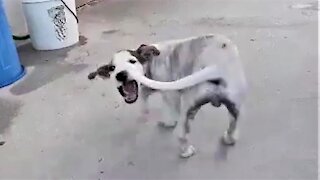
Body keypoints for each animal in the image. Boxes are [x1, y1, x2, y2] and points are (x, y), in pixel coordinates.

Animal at [89, 34, 249, 158]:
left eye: (132, 61)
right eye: (112, 68)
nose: (121, 75)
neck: (151, 60)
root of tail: (216, 67)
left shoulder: (169, 92)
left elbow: (165, 106)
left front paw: (167, 121)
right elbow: (144, 95)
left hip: (188, 106)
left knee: (181, 133)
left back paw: (185, 151)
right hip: (235, 106)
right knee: (233, 123)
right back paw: (229, 138)